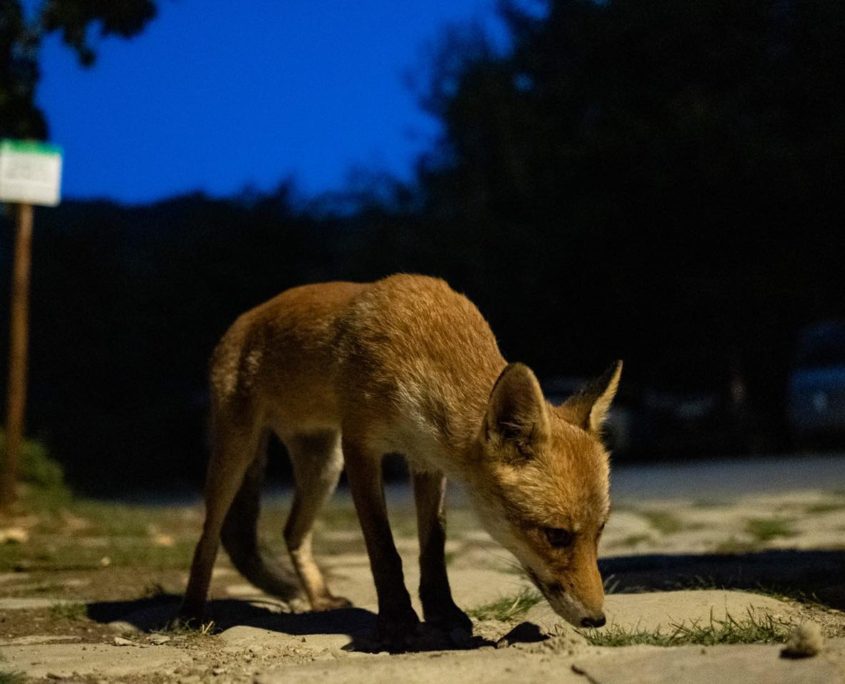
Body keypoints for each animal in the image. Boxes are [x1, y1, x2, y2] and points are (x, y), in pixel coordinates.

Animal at [178, 274, 621, 643]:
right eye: (556, 535)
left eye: (600, 530)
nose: (597, 620)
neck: (421, 348)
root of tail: (244, 319)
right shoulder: (361, 446)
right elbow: (384, 549)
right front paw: (396, 621)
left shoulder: (427, 461)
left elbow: (433, 548)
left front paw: (443, 613)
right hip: (238, 454)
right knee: (209, 535)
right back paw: (192, 614)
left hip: (323, 466)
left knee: (291, 532)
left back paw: (318, 598)